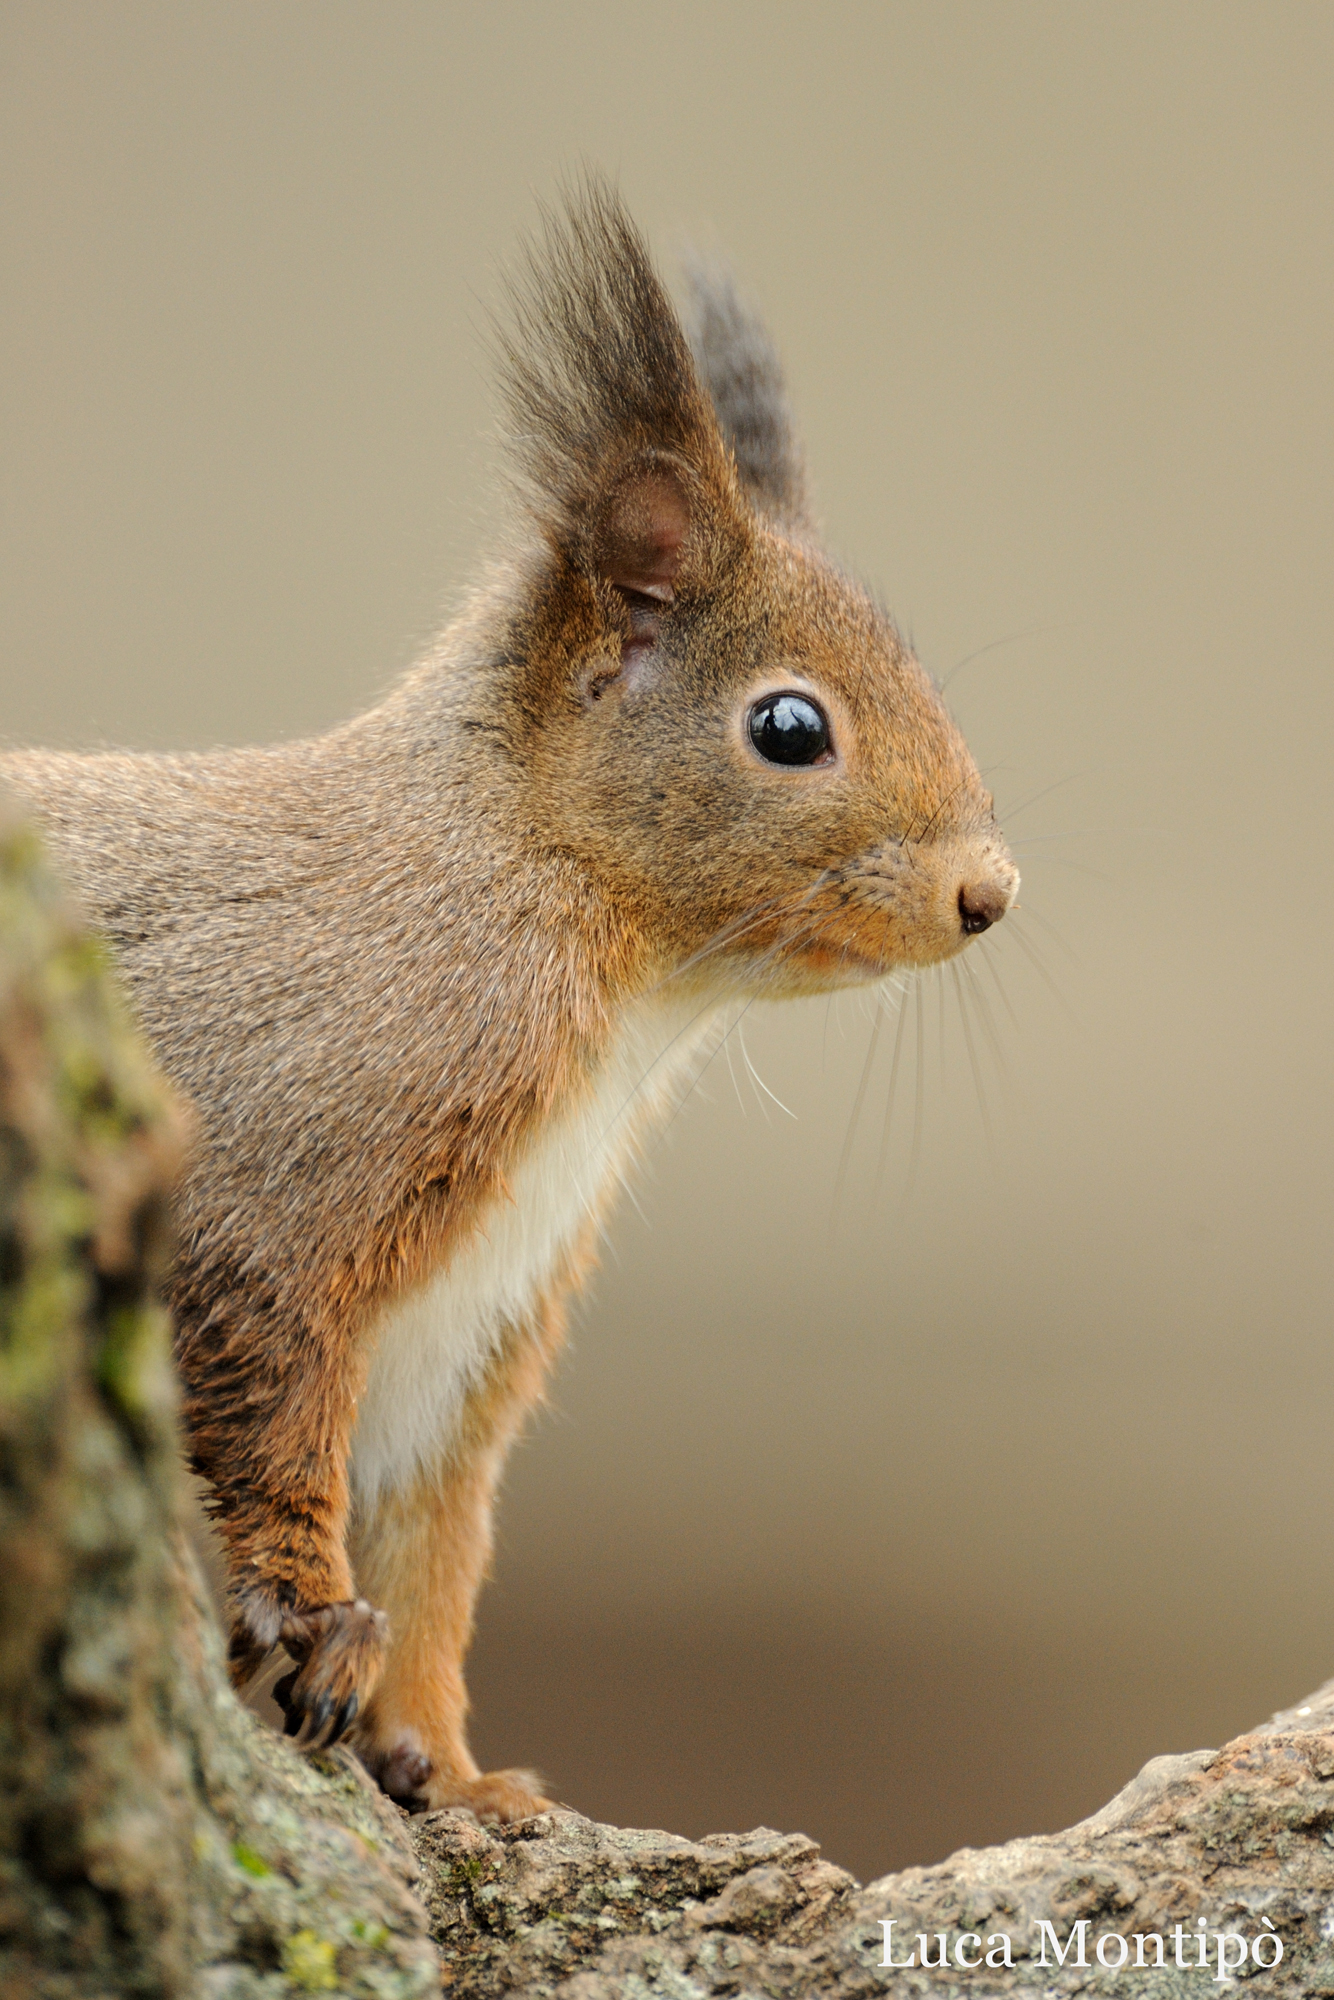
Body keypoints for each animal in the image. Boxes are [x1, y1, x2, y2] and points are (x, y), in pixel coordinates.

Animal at [2, 182, 1017, 1822]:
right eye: (787, 727)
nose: (988, 893)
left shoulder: (471, 1332)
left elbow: (438, 1546)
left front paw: (456, 1769)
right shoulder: (288, 1151)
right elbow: (264, 1394)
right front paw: (309, 1618)